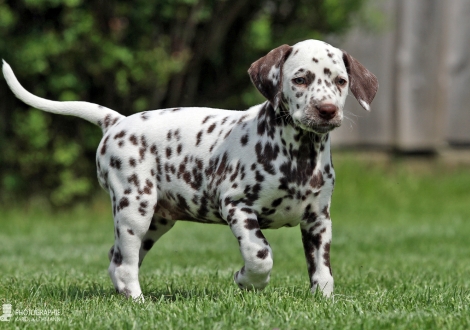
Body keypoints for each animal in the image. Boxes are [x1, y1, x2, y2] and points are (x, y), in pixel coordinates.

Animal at [1, 38, 378, 300]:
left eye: (340, 81)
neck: (299, 153)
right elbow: (260, 254)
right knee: (125, 264)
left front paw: (324, 302)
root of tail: (117, 121)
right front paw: (247, 280)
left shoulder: (318, 220)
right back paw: (138, 302)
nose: (327, 110)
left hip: (156, 221)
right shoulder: (237, 206)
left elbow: (322, 270)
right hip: (135, 208)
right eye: (300, 79)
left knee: (117, 258)